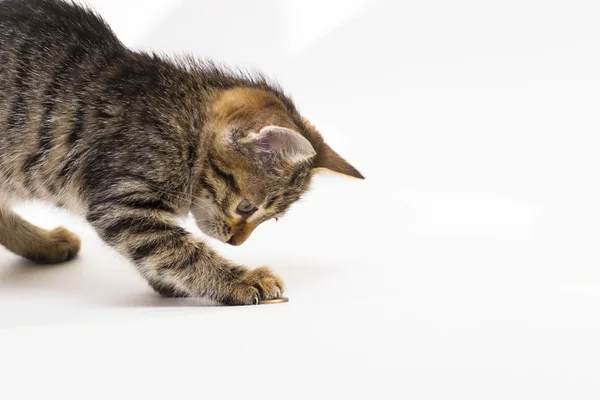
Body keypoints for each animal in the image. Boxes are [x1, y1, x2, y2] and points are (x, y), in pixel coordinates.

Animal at [0, 0, 360, 304]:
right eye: (246, 207)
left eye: (270, 218)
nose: (237, 243)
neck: (187, 123)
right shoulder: (122, 201)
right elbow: (180, 250)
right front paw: (237, 281)